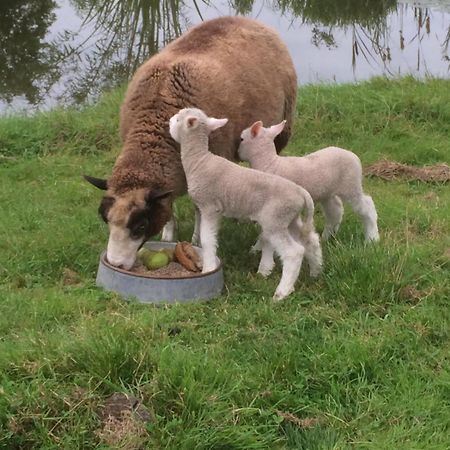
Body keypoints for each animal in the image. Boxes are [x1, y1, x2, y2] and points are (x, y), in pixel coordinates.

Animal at [82, 16, 298, 270]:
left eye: (141, 226)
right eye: (105, 219)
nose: (115, 264)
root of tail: (245, 19)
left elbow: (198, 209)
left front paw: (195, 238)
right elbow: (169, 205)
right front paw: (168, 235)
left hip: (282, 129)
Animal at [169, 107, 324, 300]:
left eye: (177, 120)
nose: (169, 120)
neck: (199, 160)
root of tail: (301, 193)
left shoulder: (209, 207)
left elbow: (207, 240)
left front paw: (208, 267)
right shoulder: (214, 210)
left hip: (275, 220)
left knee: (294, 252)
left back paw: (282, 292)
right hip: (290, 218)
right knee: (311, 240)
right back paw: (315, 272)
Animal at [239, 119, 380, 243]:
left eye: (241, 139)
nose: (237, 152)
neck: (269, 162)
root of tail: (354, 156)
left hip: (351, 185)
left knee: (367, 206)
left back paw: (372, 238)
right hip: (327, 192)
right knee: (335, 211)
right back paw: (326, 237)